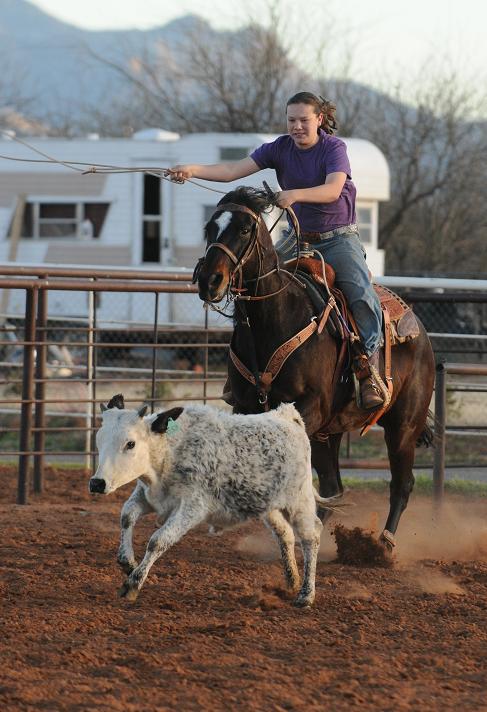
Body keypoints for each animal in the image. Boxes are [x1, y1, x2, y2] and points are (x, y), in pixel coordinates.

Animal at [194, 186, 434, 548]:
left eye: (245, 229)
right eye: (210, 227)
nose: (210, 281)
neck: (275, 319)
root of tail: (420, 331)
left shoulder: (310, 408)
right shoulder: (246, 407)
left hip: (403, 426)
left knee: (401, 485)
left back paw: (382, 545)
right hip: (328, 433)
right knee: (334, 487)